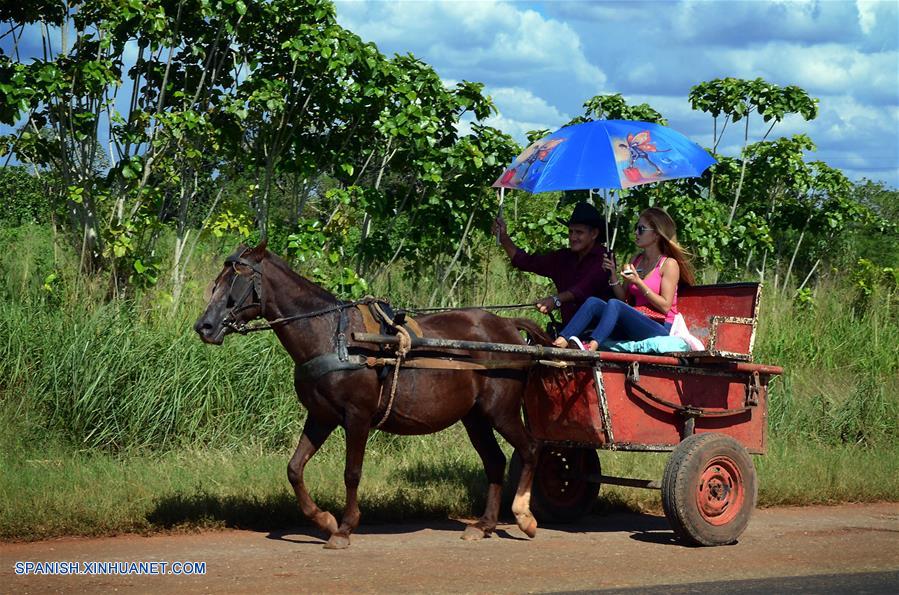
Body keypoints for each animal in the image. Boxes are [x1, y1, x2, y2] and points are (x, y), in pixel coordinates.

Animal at [195, 243, 548, 548]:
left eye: (234, 281)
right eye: (216, 282)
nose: (205, 326)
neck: (335, 337)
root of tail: (507, 326)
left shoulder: (357, 416)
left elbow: (351, 473)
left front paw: (345, 528)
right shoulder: (321, 416)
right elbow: (294, 468)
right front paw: (324, 520)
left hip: (500, 410)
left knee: (530, 448)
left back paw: (523, 516)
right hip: (475, 417)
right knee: (495, 461)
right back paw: (484, 525)